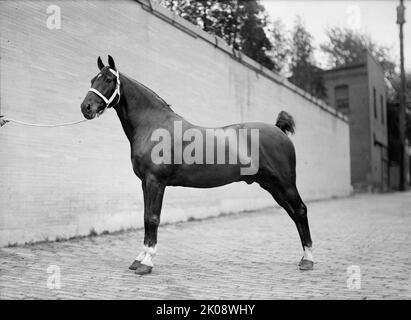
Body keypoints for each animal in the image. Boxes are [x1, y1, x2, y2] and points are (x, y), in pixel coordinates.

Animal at [80, 55, 314, 276]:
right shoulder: (145, 183)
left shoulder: (156, 181)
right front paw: (139, 258)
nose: (86, 107)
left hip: (285, 183)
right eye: (93, 79)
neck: (153, 126)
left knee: (300, 210)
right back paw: (304, 258)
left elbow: (153, 218)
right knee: (293, 213)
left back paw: (309, 260)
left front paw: (147, 263)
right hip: (271, 185)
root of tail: (279, 130)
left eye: (109, 80)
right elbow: (145, 217)